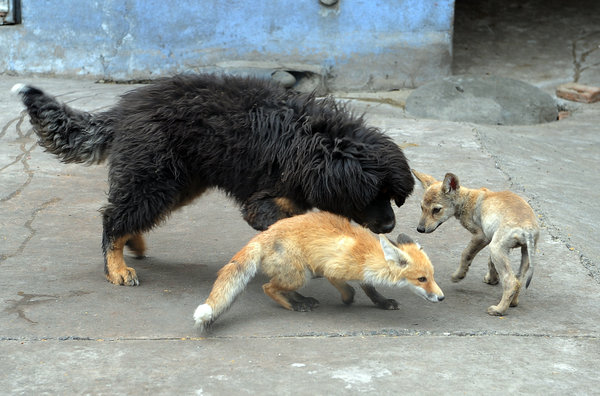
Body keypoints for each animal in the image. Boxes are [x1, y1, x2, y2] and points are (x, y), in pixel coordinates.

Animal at [11, 74, 412, 286]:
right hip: (156, 178)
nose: (390, 226)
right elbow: (286, 224)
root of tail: (123, 111)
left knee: (127, 213)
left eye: (391, 194)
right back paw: (116, 267)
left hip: (176, 182)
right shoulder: (263, 202)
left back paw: (132, 243)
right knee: (114, 217)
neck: (321, 144)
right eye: (372, 194)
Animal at [195, 212, 442, 330]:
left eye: (432, 276)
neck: (366, 254)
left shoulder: (361, 273)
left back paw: (301, 299)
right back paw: (295, 305)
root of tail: (262, 236)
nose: (441, 298)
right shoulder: (332, 269)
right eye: (421, 279)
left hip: (298, 275)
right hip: (300, 274)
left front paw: (382, 302)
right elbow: (349, 290)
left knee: (279, 287)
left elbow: (369, 289)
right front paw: (346, 301)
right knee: (269, 287)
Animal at [412, 170, 540, 316]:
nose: (420, 229)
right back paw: (513, 302)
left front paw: (459, 275)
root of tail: (528, 228)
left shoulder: (481, 236)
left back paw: (499, 310)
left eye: (436, 210)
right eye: (421, 208)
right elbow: (491, 263)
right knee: (519, 280)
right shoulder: (493, 239)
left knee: (511, 281)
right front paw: (492, 279)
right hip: (524, 253)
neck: (468, 199)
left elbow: (466, 254)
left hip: (496, 248)